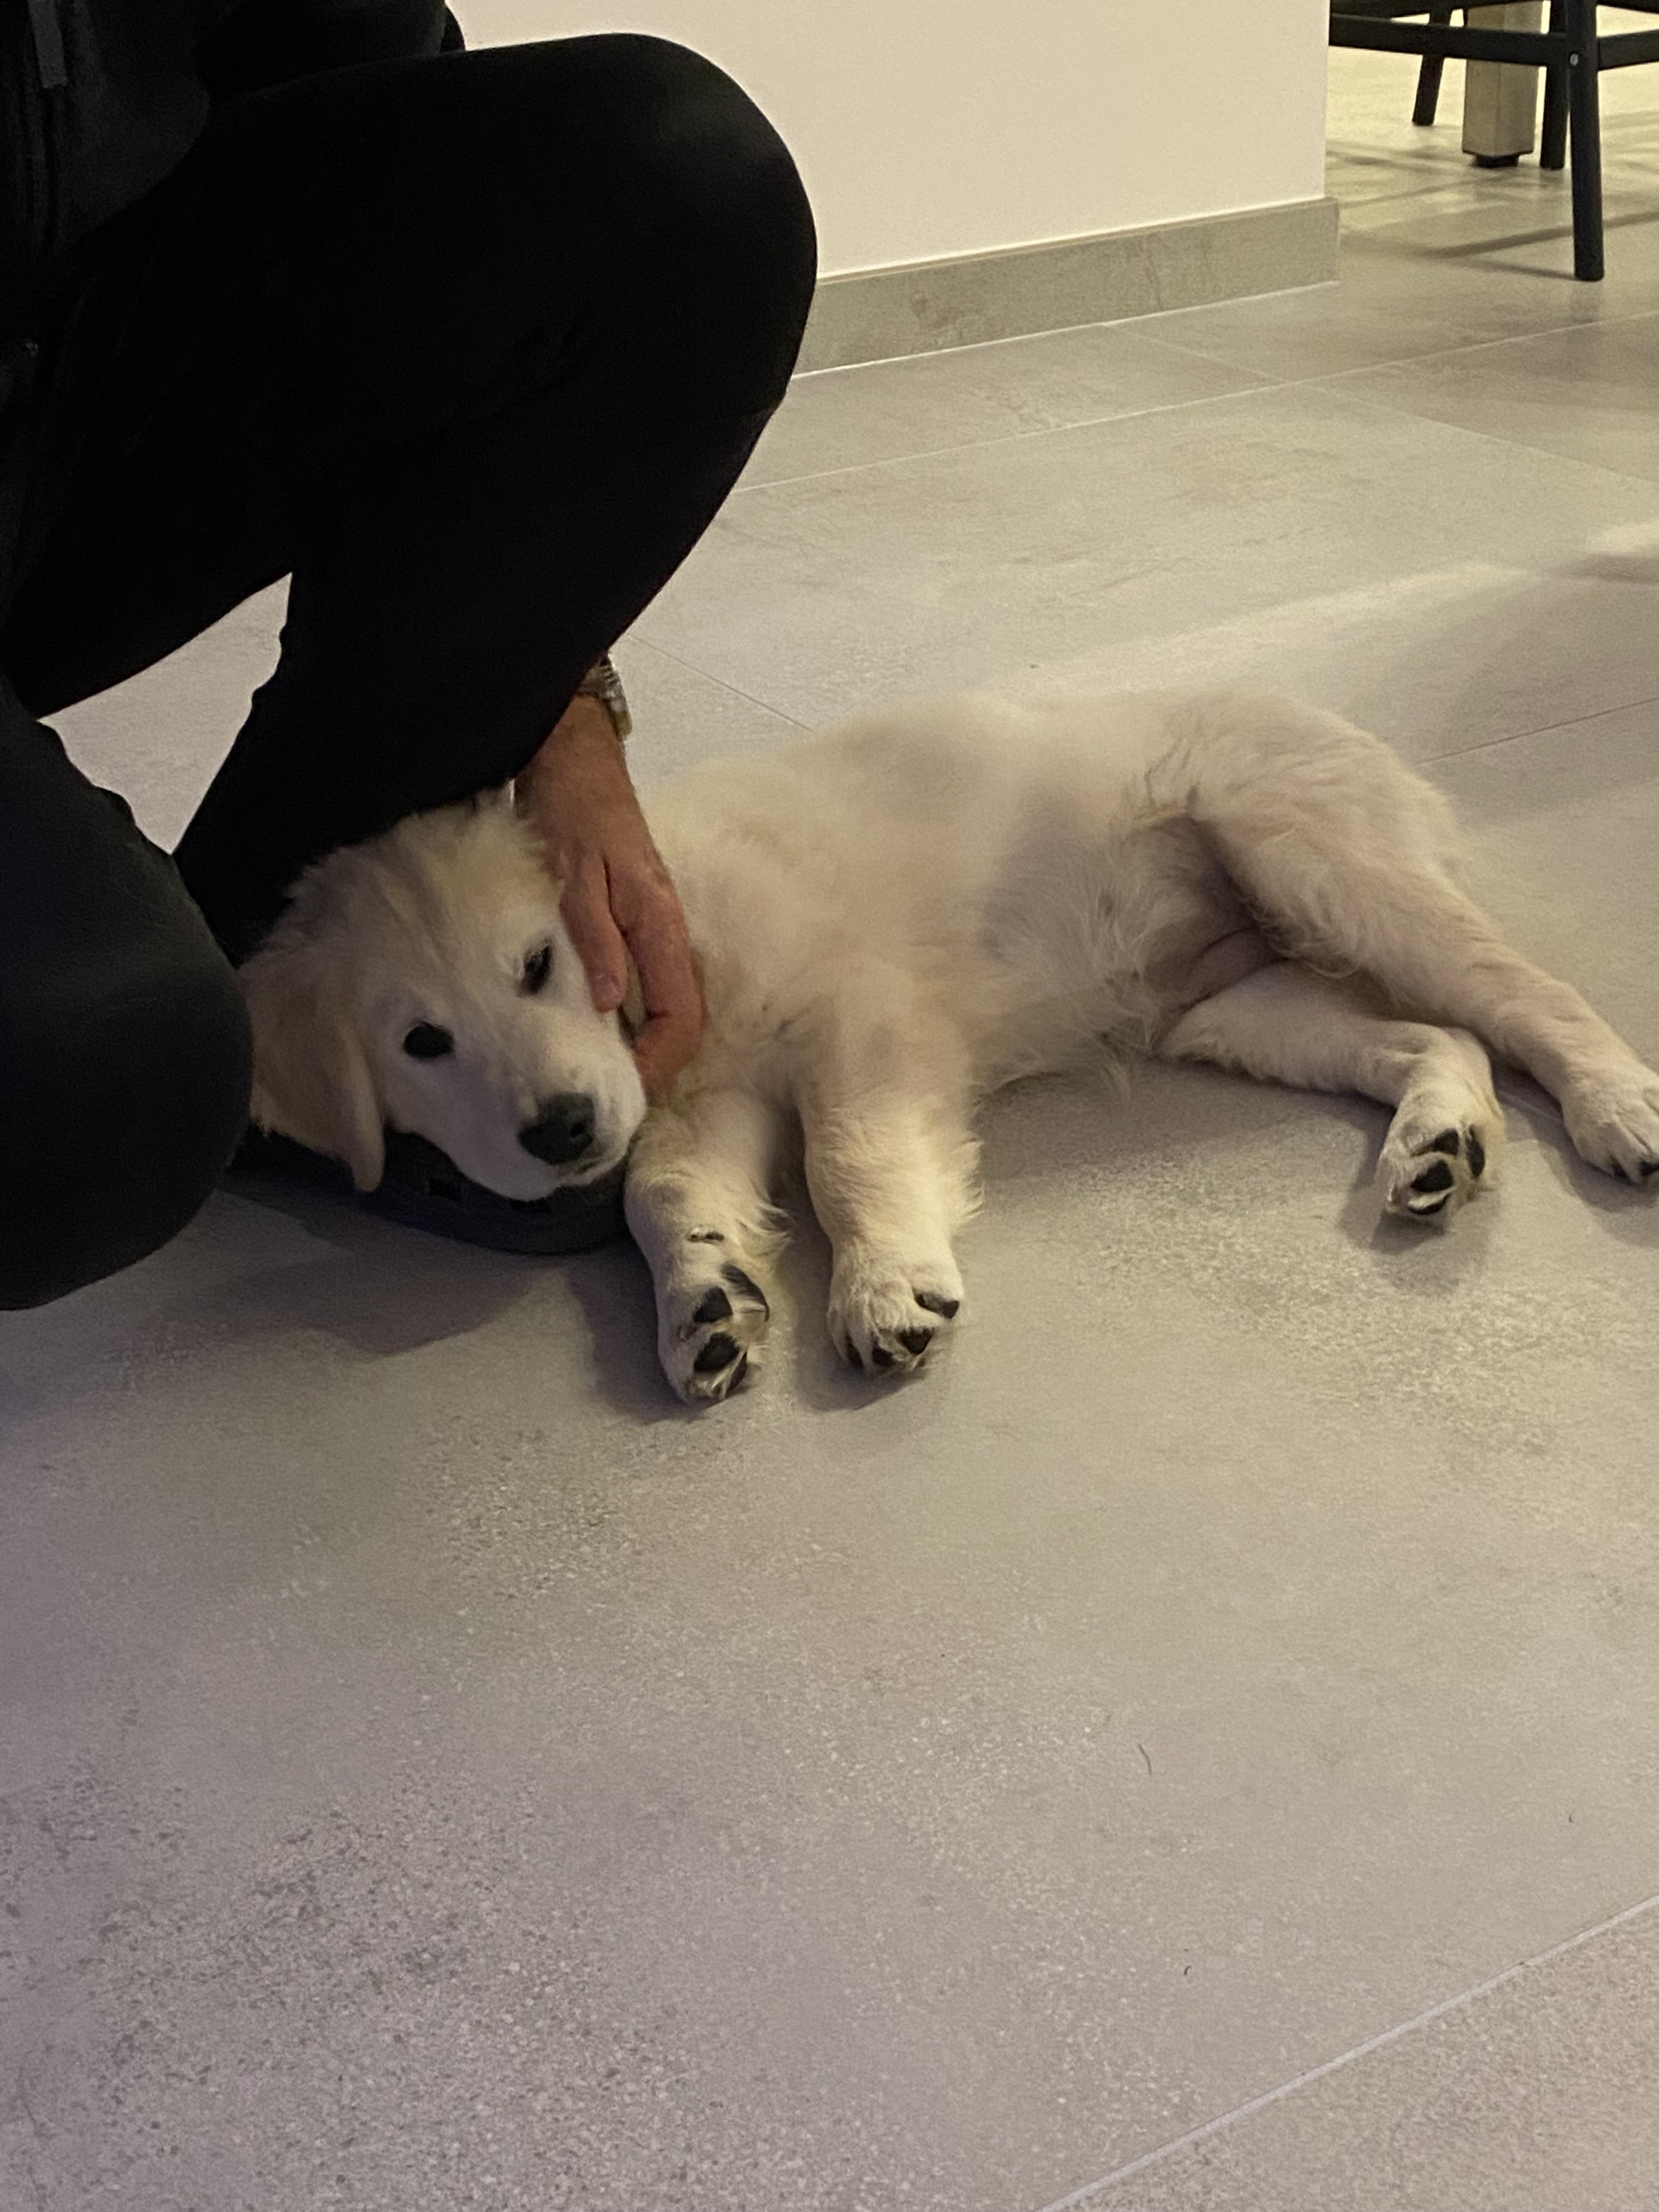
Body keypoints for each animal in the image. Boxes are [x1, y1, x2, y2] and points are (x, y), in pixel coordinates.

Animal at [240, 689, 1659, 1403]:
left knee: (1530, 998)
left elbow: (848, 1160)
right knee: (1441, 1036)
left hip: (1324, 867)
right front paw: (704, 1303)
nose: (559, 1133)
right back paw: (1439, 1143)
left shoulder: (861, 1022)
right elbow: (663, 1196)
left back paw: (1618, 1107)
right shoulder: (705, 1102)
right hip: (1239, 1005)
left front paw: (882, 1285)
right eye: (422, 1042)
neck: (676, 916)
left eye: (536, 964)